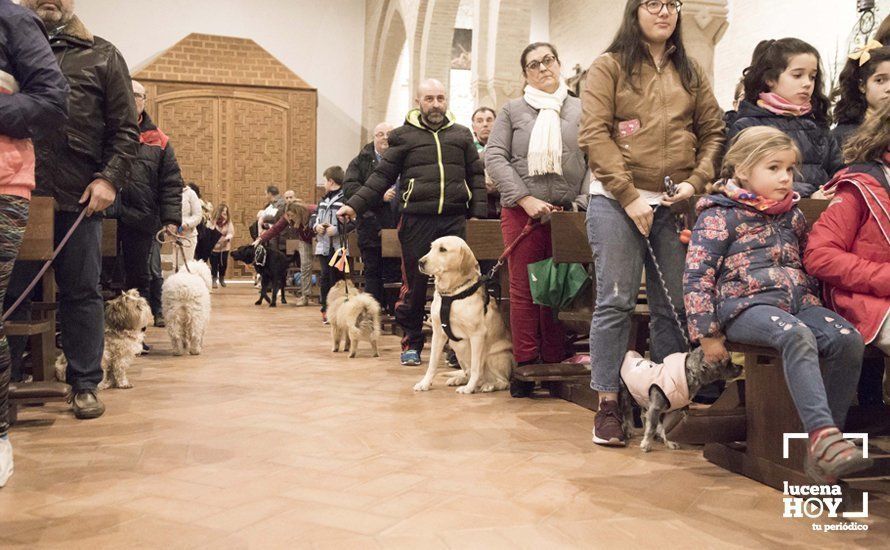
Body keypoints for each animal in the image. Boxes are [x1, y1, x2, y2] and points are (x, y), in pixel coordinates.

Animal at [412, 235, 510, 394]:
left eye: (443, 249)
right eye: (431, 247)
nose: (420, 262)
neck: (452, 294)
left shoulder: (477, 335)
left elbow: (476, 367)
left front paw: (469, 388)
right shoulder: (438, 333)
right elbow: (432, 364)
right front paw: (425, 383)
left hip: (494, 356)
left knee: (503, 381)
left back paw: (489, 385)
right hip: (460, 354)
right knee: (469, 373)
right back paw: (459, 379)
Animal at [612, 350, 740, 452]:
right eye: (727, 363)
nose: (741, 367)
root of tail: (628, 354)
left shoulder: (671, 411)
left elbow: (667, 428)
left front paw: (668, 442)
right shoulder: (655, 408)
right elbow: (652, 428)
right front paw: (646, 444)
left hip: (643, 399)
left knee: (643, 415)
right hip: (626, 396)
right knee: (627, 414)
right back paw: (628, 431)